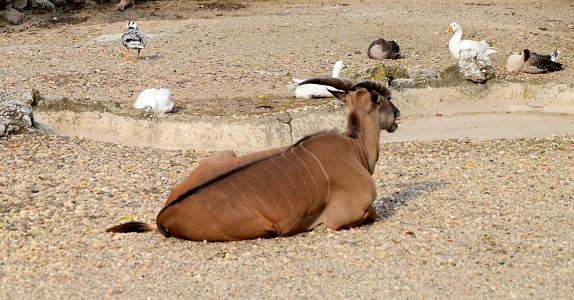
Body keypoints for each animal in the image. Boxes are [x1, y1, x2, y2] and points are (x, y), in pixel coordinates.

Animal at [107, 78, 400, 241]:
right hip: (268, 228)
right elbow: (372, 213)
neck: (353, 147)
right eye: (388, 98)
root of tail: (163, 215)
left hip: (227, 153)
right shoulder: (341, 217)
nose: (397, 115)